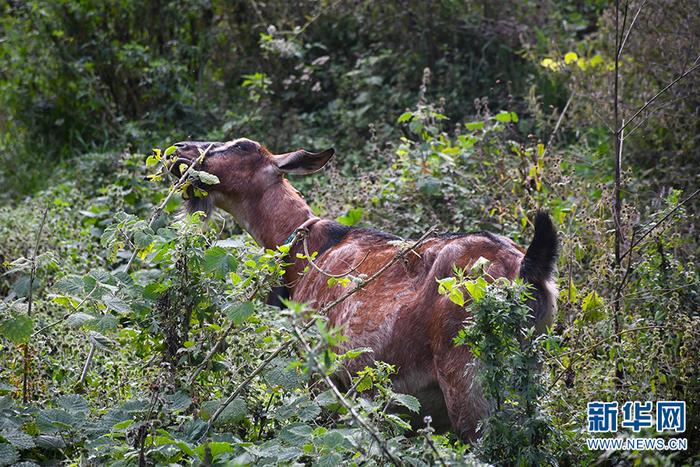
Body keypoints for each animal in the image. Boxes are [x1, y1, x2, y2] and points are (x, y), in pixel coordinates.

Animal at [172, 139, 560, 442]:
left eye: (241, 146)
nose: (180, 149)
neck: (305, 250)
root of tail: (526, 271)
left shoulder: (321, 373)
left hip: (469, 381)